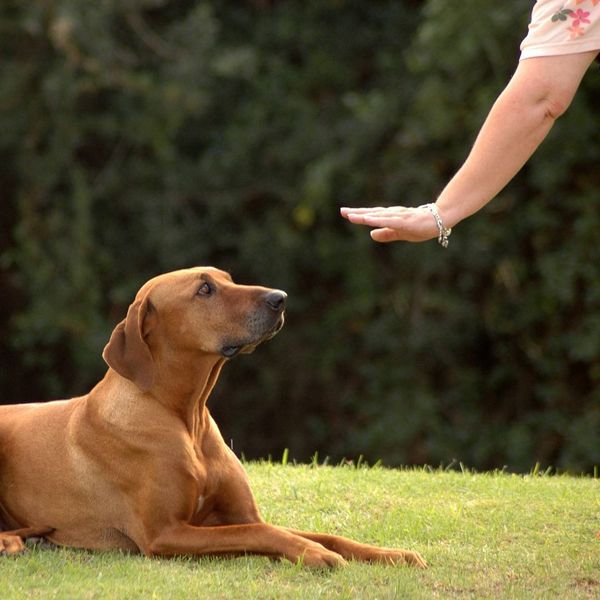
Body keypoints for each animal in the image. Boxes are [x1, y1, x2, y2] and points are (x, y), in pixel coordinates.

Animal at [0, 268, 426, 568]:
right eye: (204, 289)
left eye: (229, 279)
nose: (281, 298)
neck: (186, 419)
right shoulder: (165, 533)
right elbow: (260, 531)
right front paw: (312, 553)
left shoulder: (233, 514)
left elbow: (319, 533)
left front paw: (392, 554)